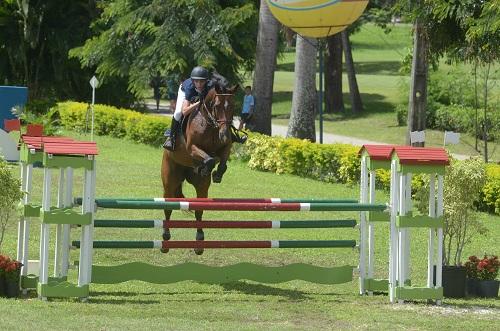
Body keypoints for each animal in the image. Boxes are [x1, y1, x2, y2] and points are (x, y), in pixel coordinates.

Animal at [161, 79, 237, 255]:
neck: (210, 123)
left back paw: (199, 242)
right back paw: (166, 239)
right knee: (168, 207)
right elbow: (209, 160)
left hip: (201, 188)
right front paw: (206, 167)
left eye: (233, 106)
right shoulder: (192, 148)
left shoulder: (226, 146)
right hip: (170, 181)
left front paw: (216, 174)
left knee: (199, 209)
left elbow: (221, 161)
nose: (224, 134)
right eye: (216, 105)